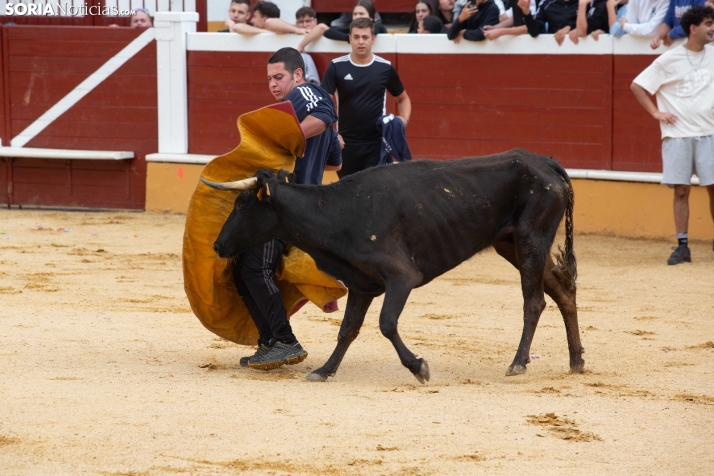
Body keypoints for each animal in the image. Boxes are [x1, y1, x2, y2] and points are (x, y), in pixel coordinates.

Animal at [203, 149, 580, 384]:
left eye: (242, 204)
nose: (218, 245)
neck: (340, 211)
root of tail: (546, 162)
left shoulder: (401, 277)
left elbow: (386, 323)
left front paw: (419, 367)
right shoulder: (360, 284)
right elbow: (347, 330)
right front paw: (324, 370)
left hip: (531, 240)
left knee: (534, 301)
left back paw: (518, 363)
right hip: (512, 245)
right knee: (563, 291)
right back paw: (576, 360)